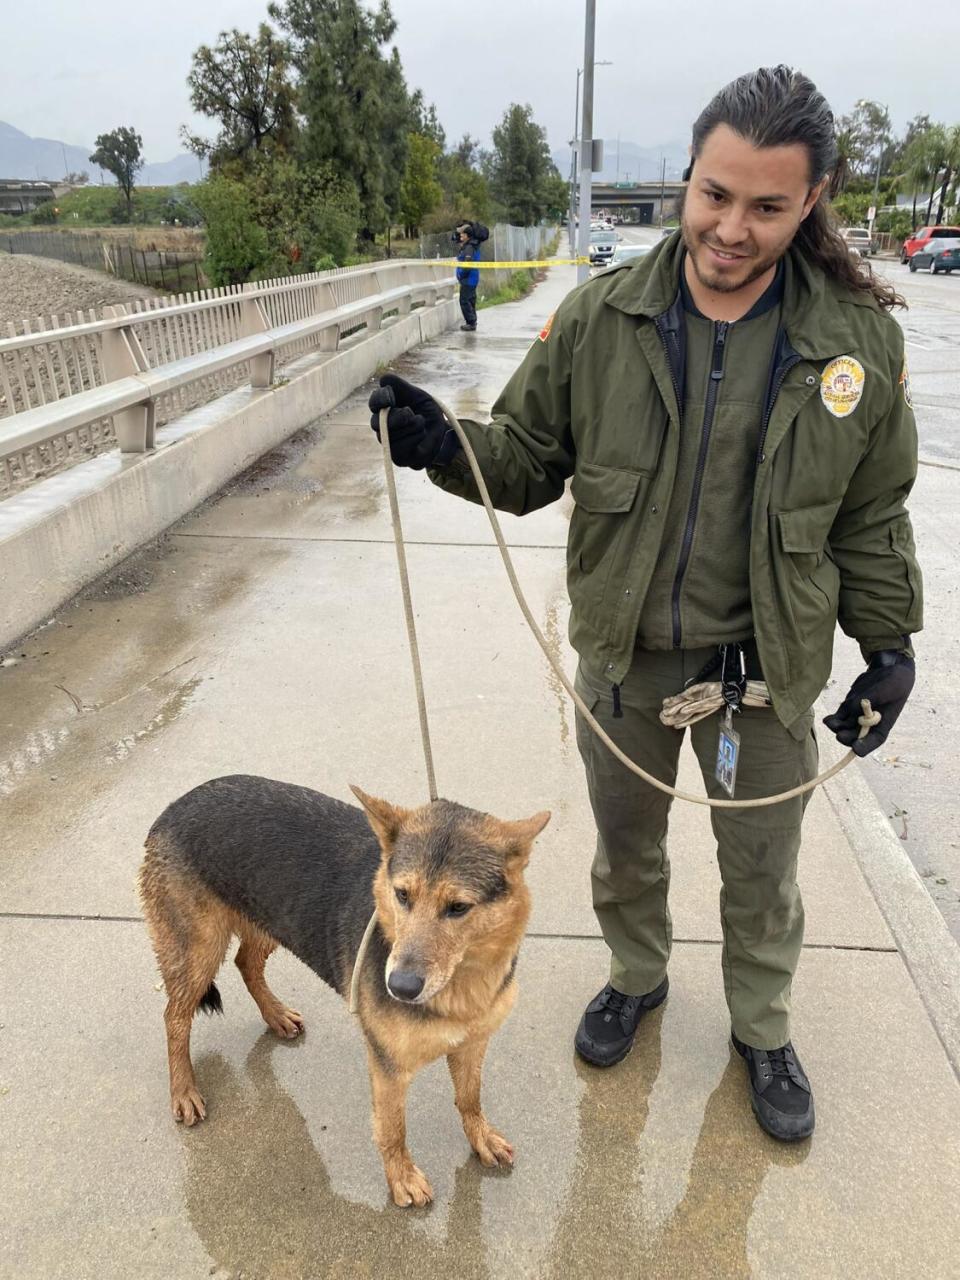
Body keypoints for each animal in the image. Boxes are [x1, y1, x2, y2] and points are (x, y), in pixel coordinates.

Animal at [138, 773, 552, 1203]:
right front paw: (401, 1176)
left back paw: (275, 1015)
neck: (461, 984)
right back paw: (183, 1089)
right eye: (402, 895)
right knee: (175, 1016)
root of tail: (176, 805)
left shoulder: (472, 1044)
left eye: (458, 907)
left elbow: (470, 1098)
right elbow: (392, 1128)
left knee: (246, 964)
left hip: (271, 920)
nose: (399, 987)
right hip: (198, 950)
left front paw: (479, 1136)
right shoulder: (388, 1067)